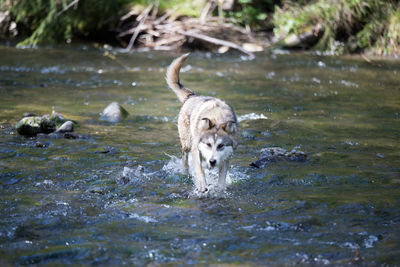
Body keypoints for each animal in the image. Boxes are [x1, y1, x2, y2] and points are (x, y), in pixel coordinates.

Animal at [166, 54, 238, 193]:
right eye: (208, 144)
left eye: (221, 146)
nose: (212, 161)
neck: (217, 117)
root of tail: (192, 96)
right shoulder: (196, 150)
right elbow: (199, 169)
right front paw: (202, 185)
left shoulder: (226, 157)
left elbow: (222, 177)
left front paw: (219, 189)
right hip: (187, 144)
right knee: (185, 160)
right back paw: (186, 173)